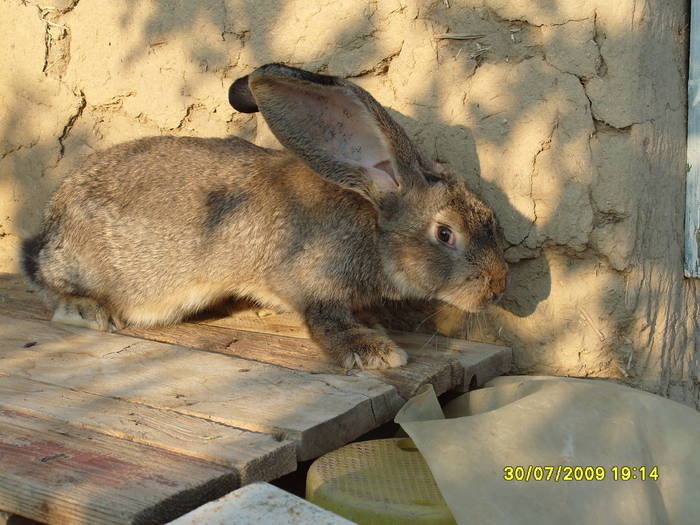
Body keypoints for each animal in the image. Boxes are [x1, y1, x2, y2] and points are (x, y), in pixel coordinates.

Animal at [19, 62, 506, 368]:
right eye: (445, 234)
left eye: (490, 220)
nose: (497, 288)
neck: (372, 226)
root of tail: (50, 227)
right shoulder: (312, 285)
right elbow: (326, 321)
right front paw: (375, 352)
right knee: (49, 286)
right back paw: (85, 311)